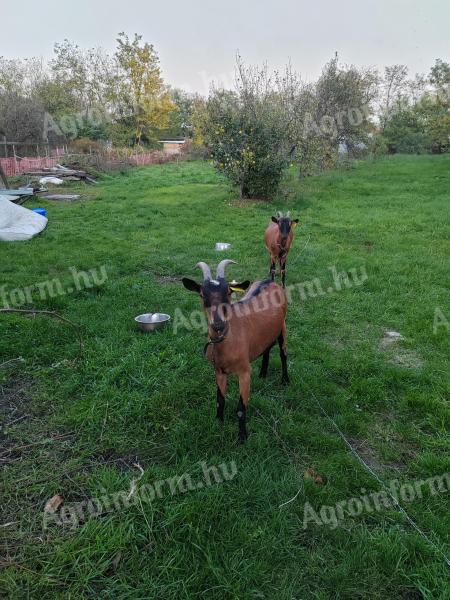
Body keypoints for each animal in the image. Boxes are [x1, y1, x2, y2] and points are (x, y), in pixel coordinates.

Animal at [182, 260, 288, 442]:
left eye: (228, 292)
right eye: (202, 294)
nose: (218, 324)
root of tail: (269, 281)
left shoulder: (244, 372)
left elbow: (240, 408)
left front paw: (242, 437)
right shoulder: (219, 371)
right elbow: (220, 400)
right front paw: (218, 423)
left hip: (283, 325)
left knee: (283, 353)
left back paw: (285, 380)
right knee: (267, 347)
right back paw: (263, 373)